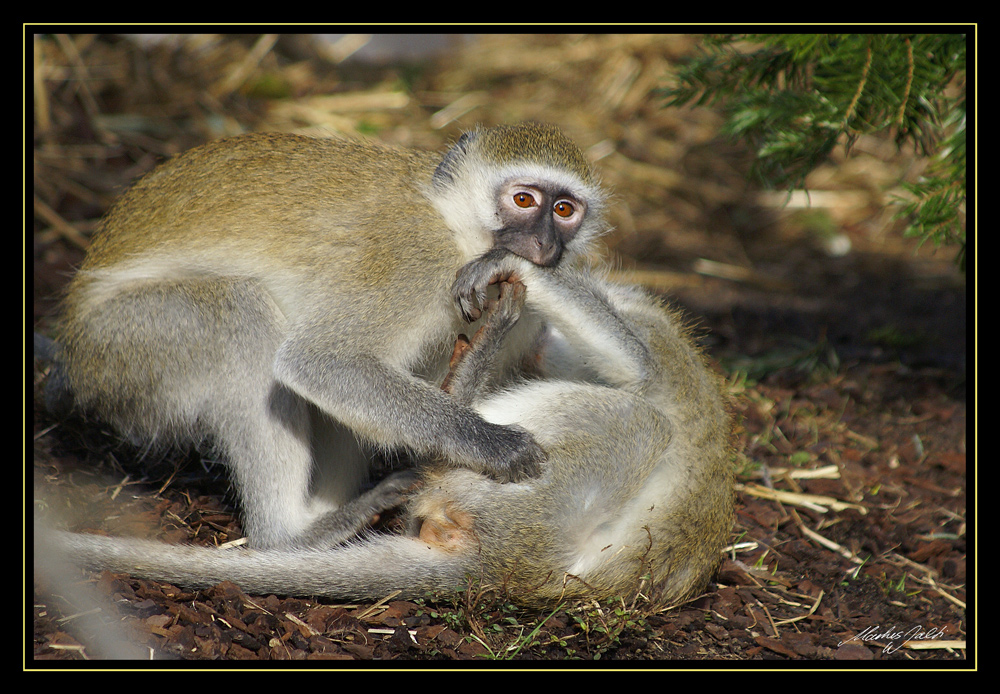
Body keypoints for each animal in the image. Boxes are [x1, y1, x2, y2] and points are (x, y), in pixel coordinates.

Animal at [41, 123, 608, 548]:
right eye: (523, 199)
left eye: (564, 210)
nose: (544, 244)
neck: (451, 225)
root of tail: (72, 350)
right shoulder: (410, 261)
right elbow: (320, 362)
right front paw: (492, 443)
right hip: (126, 346)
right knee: (238, 315)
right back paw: (290, 537)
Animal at [48, 256, 736, 608]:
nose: (537, 346)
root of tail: (500, 566)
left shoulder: (652, 341)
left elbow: (638, 368)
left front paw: (513, 266)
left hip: (530, 496)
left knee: (643, 420)